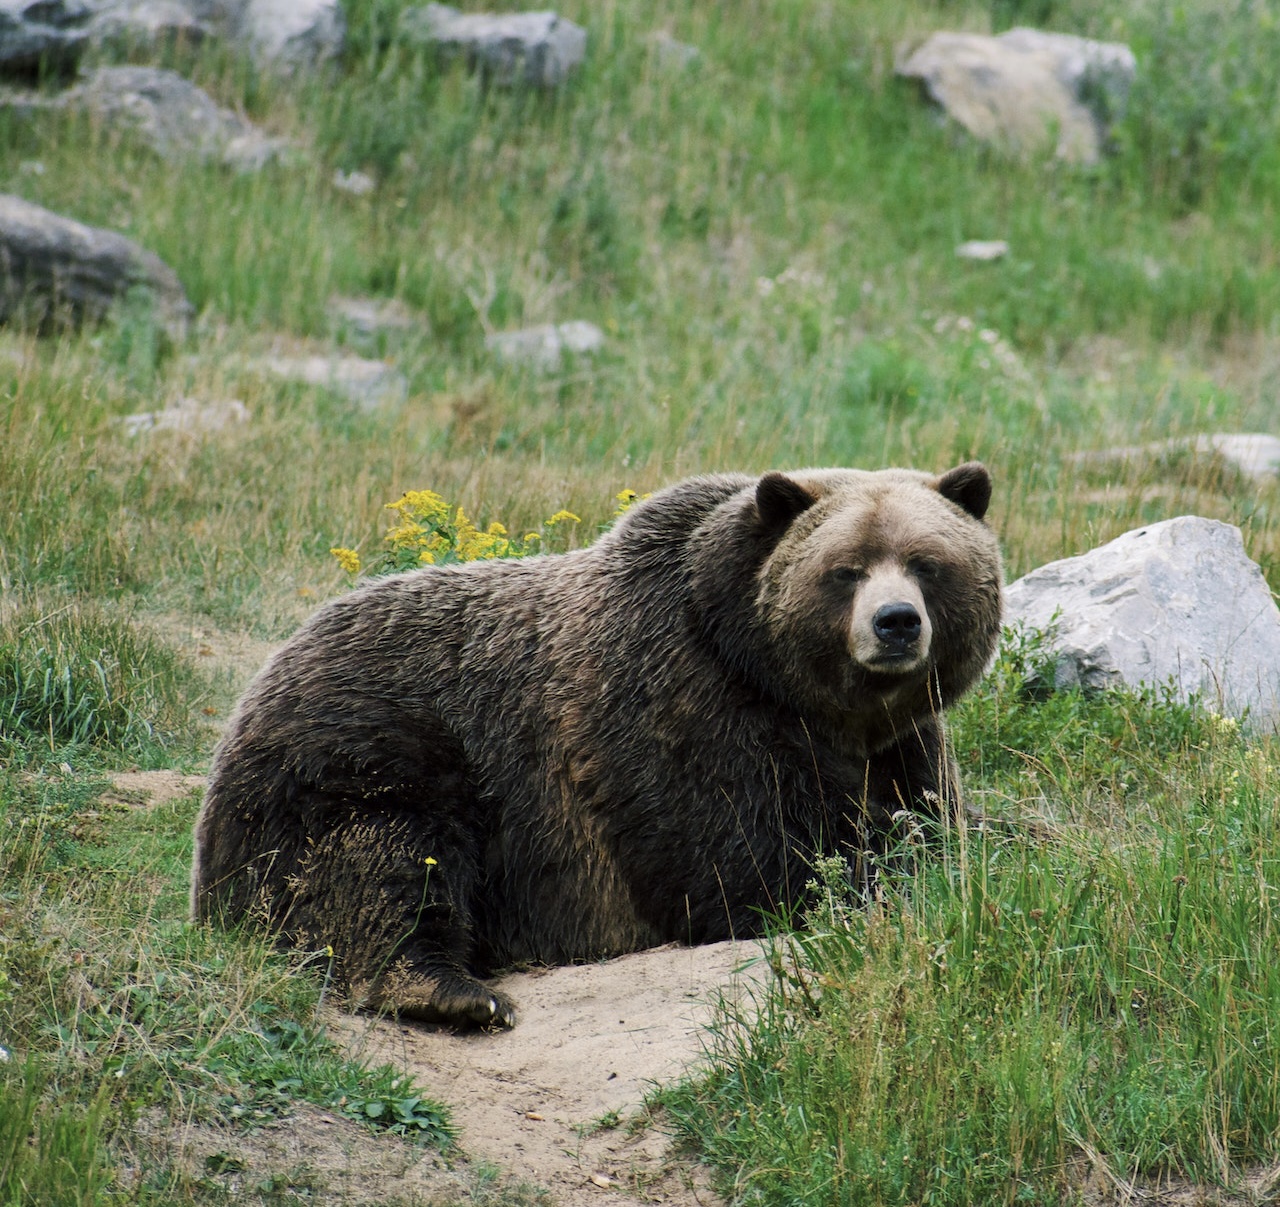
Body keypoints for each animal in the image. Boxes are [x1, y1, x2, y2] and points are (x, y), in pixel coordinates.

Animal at [194, 463, 1003, 1029]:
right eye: (846, 569)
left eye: (928, 562)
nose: (896, 622)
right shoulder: (681, 706)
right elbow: (742, 862)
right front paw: (862, 877)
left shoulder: (901, 746)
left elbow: (934, 822)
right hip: (365, 751)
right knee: (383, 866)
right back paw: (458, 992)